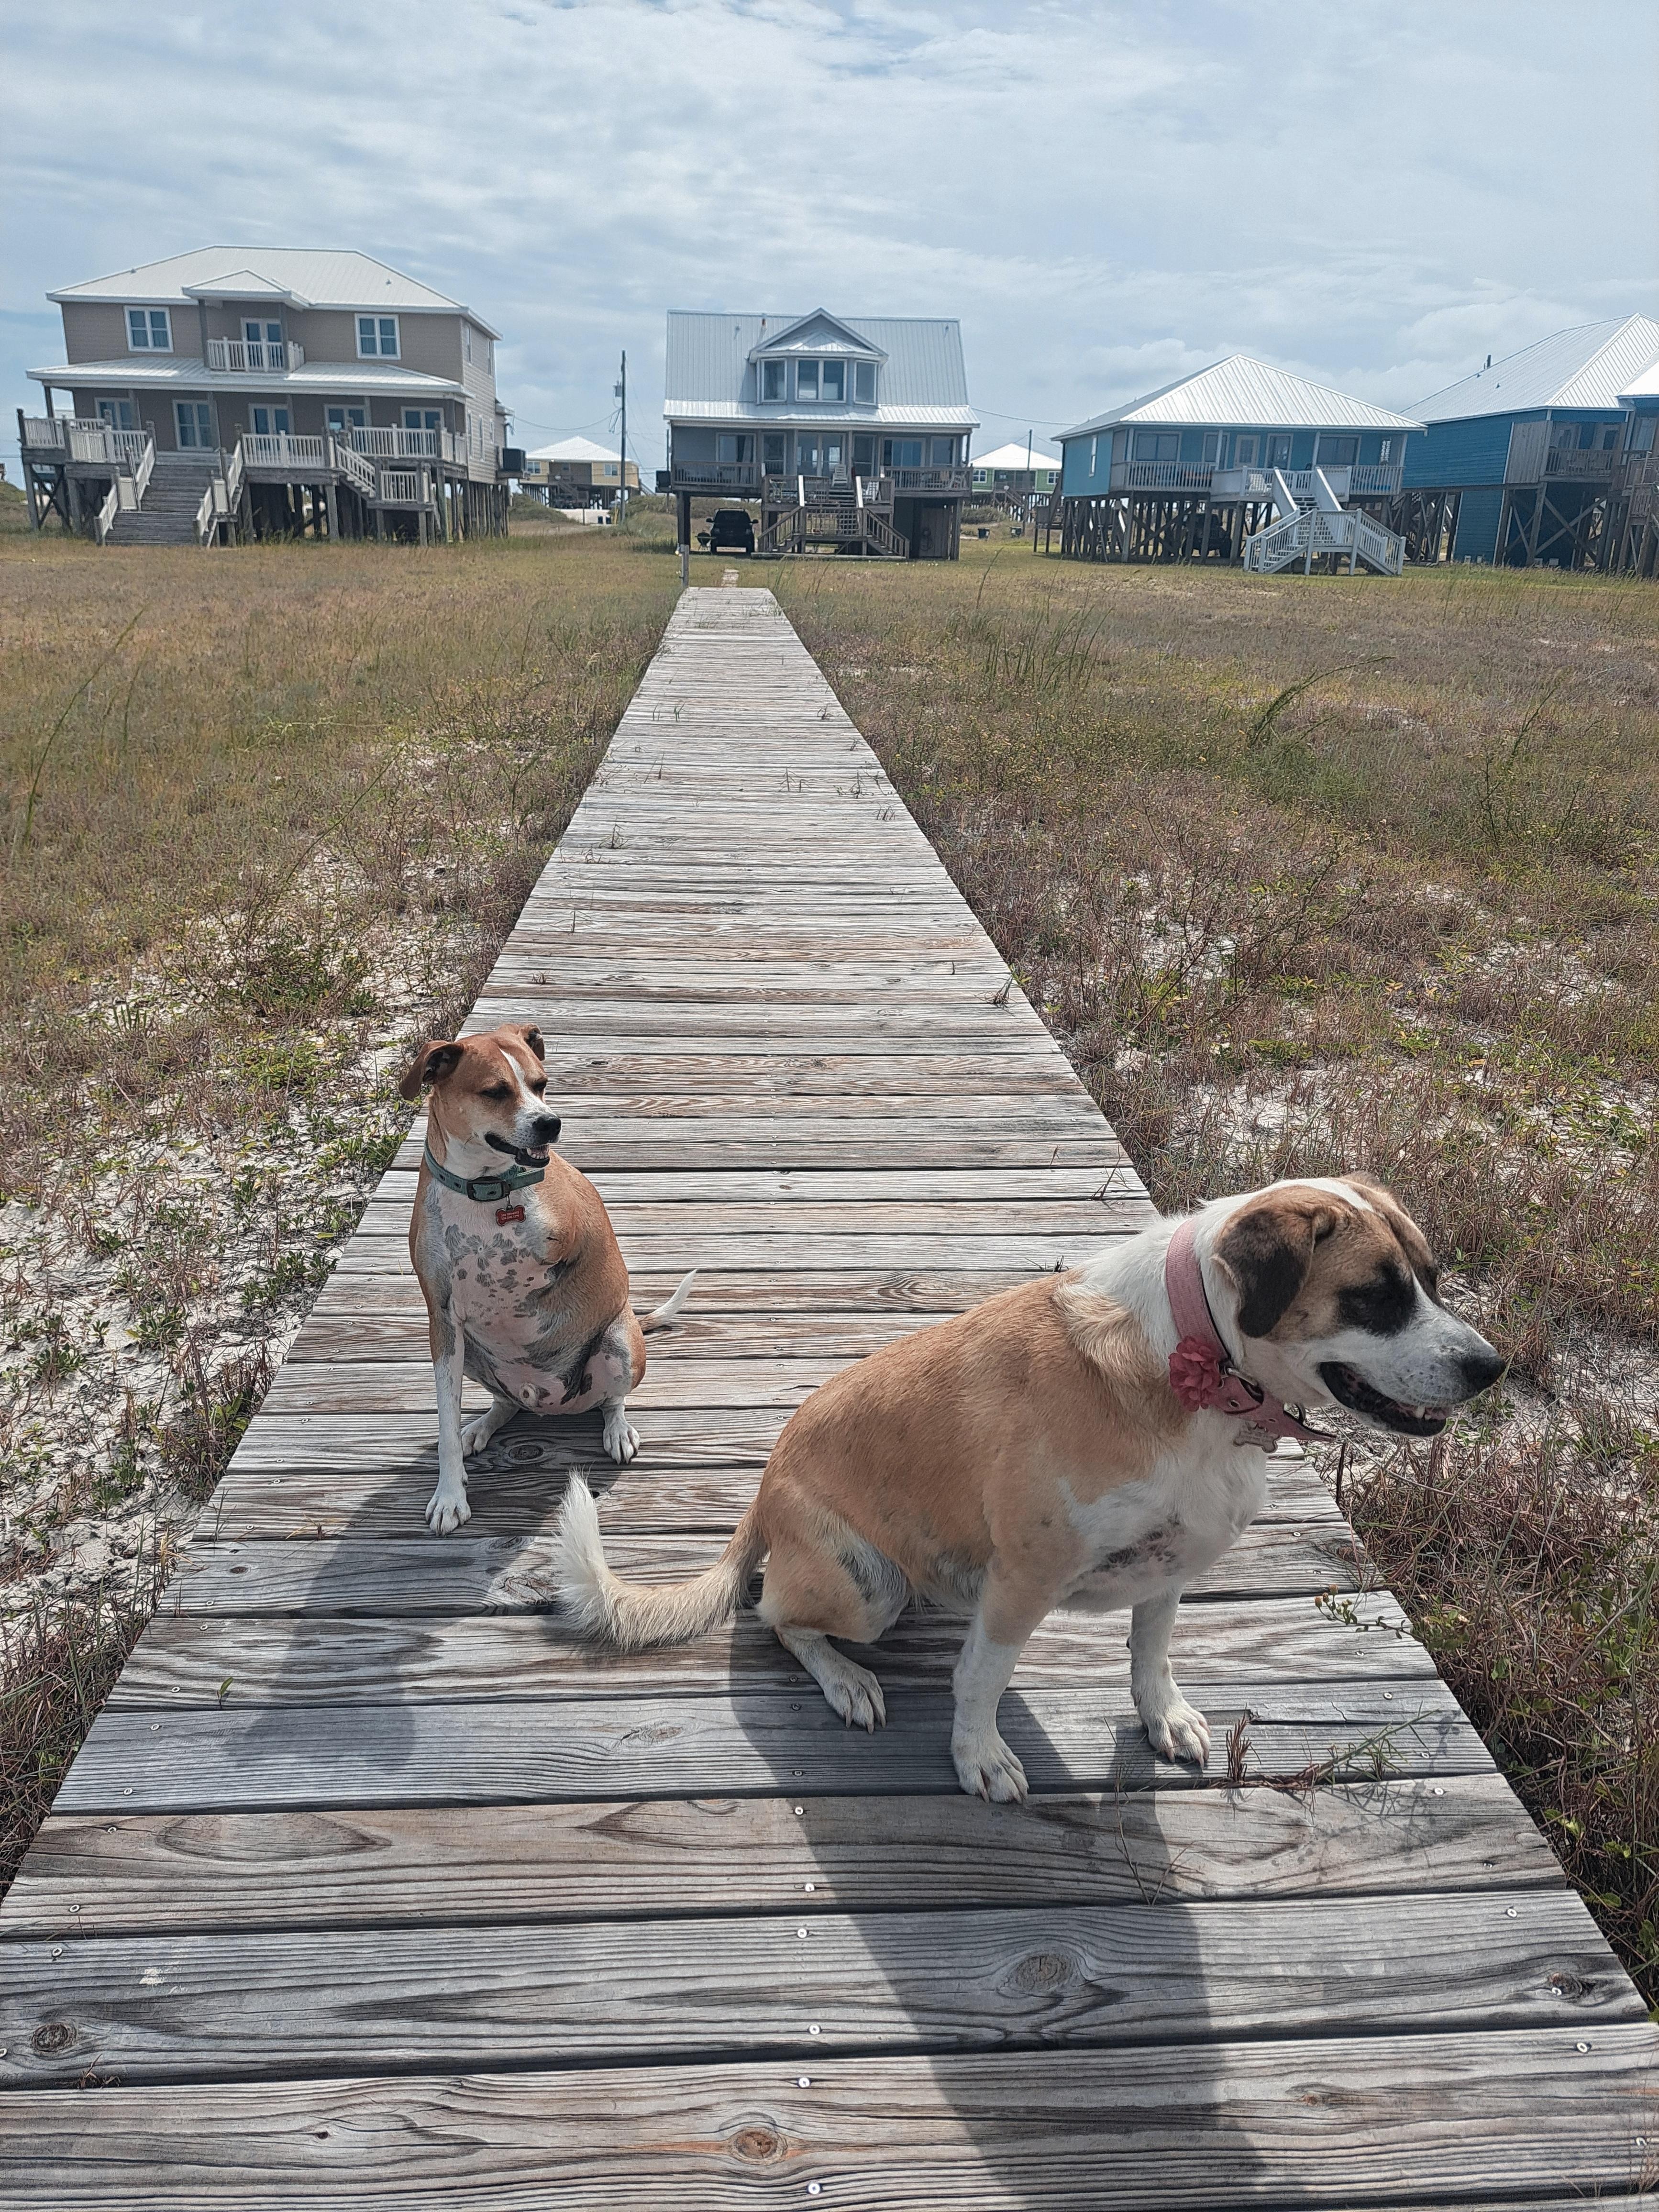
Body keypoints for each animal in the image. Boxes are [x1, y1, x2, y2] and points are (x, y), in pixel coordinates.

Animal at [400, 1022, 694, 1534]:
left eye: (541, 1084)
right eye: (495, 1092)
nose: (550, 1123)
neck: (484, 1190)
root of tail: (553, 1405)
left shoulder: (577, 1242)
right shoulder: (444, 1325)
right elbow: (446, 1424)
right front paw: (450, 1495)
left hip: (619, 1343)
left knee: (612, 1399)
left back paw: (617, 1429)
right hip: (473, 1357)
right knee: (507, 1403)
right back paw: (483, 1425)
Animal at [552, 1175, 1503, 1800]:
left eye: (1432, 1279)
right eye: (1373, 1296)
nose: (1491, 1367)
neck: (1195, 1363)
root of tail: (759, 1497)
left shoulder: (1169, 1566)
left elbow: (1151, 1652)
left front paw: (1164, 1715)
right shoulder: (1025, 1577)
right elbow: (979, 1679)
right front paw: (979, 1757)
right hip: (868, 1587)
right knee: (778, 1617)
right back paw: (847, 1679)